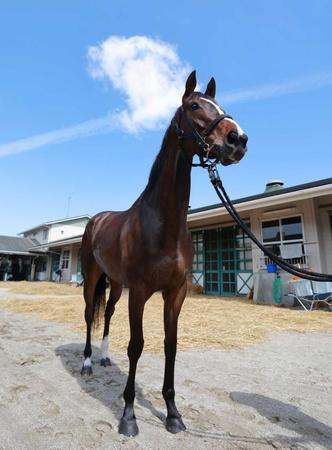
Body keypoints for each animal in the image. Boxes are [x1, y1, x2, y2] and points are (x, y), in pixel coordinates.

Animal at [80, 70, 246, 436]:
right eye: (194, 106)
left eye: (220, 105)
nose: (238, 139)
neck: (162, 223)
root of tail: (96, 219)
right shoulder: (140, 292)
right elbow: (137, 346)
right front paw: (128, 415)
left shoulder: (175, 292)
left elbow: (171, 345)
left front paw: (172, 412)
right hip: (93, 278)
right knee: (88, 315)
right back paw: (86, 362)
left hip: (116, 284)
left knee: (107, 313)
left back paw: (103, 357)